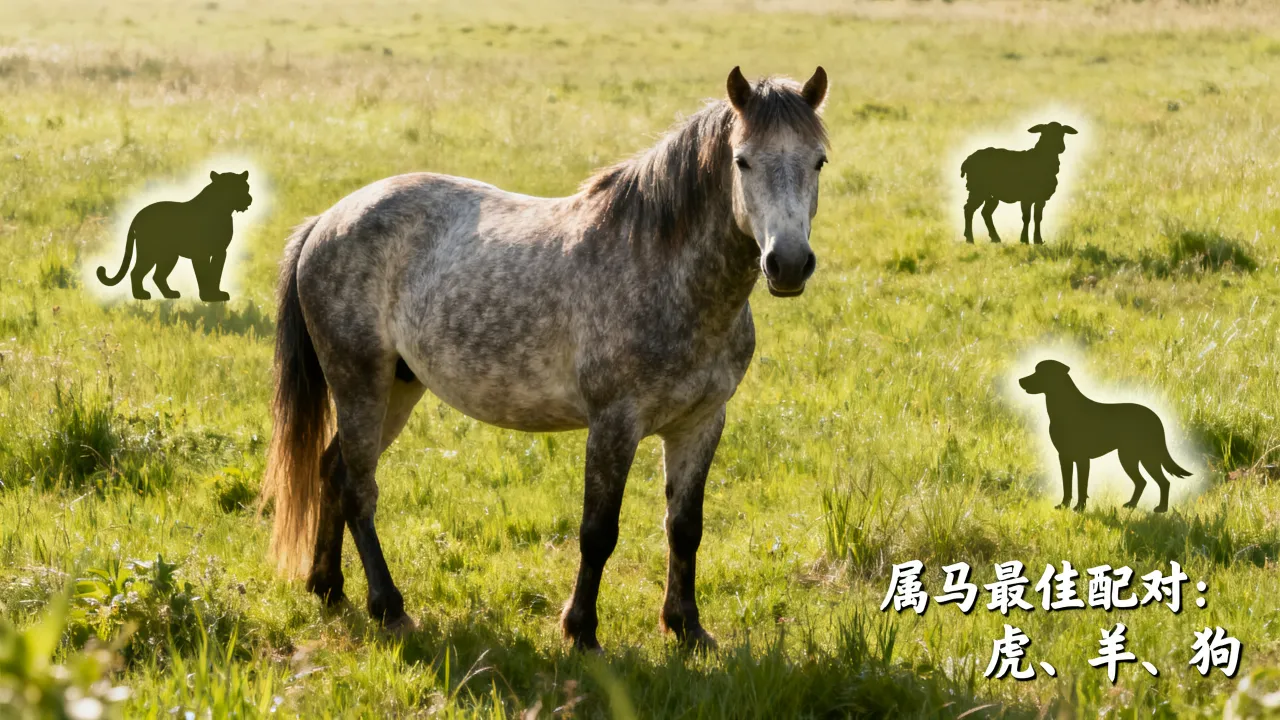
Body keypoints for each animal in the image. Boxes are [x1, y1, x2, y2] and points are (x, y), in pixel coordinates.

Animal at [262, 66, 830, 651]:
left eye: (818, 161)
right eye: (742, 160)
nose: (787, 264)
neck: (664, 272)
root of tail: (327, 220)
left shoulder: (700, 423)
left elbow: (684, 528)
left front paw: (686, 627)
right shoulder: (614, 424)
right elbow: (599, 532)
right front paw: (581, 631)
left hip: (397, 388)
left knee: (333, 471)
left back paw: (327, 587)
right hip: (360, 383)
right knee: (358, 488)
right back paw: (388, 607)